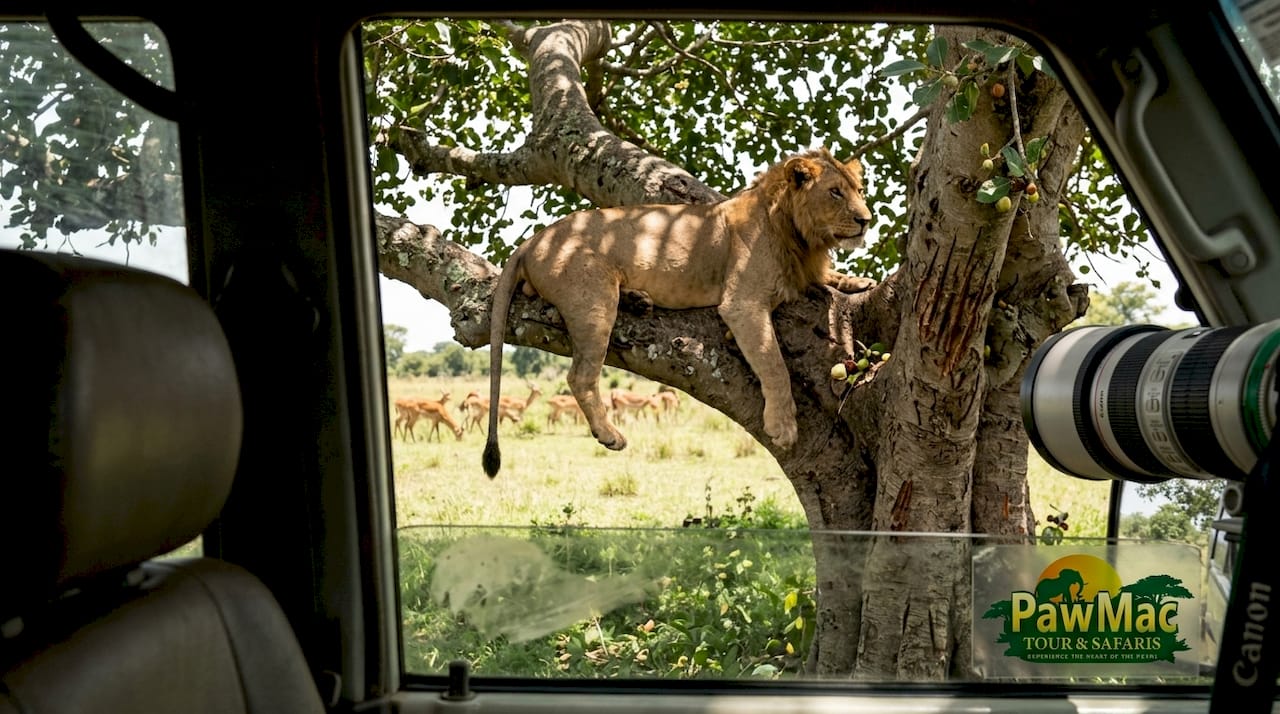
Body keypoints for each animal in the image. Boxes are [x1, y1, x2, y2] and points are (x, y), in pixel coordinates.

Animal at [483, 147, 875, 477]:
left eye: (858, 189)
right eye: (835, 192)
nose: (866, 220)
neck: (798, 236)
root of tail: (532, 241)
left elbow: (826, 277)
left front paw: (859, 280)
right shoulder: (742, 303)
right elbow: (774, 363)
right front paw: (783, 426)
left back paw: (638, 299)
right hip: (593, 300)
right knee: (580, 376)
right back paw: (610, 434)